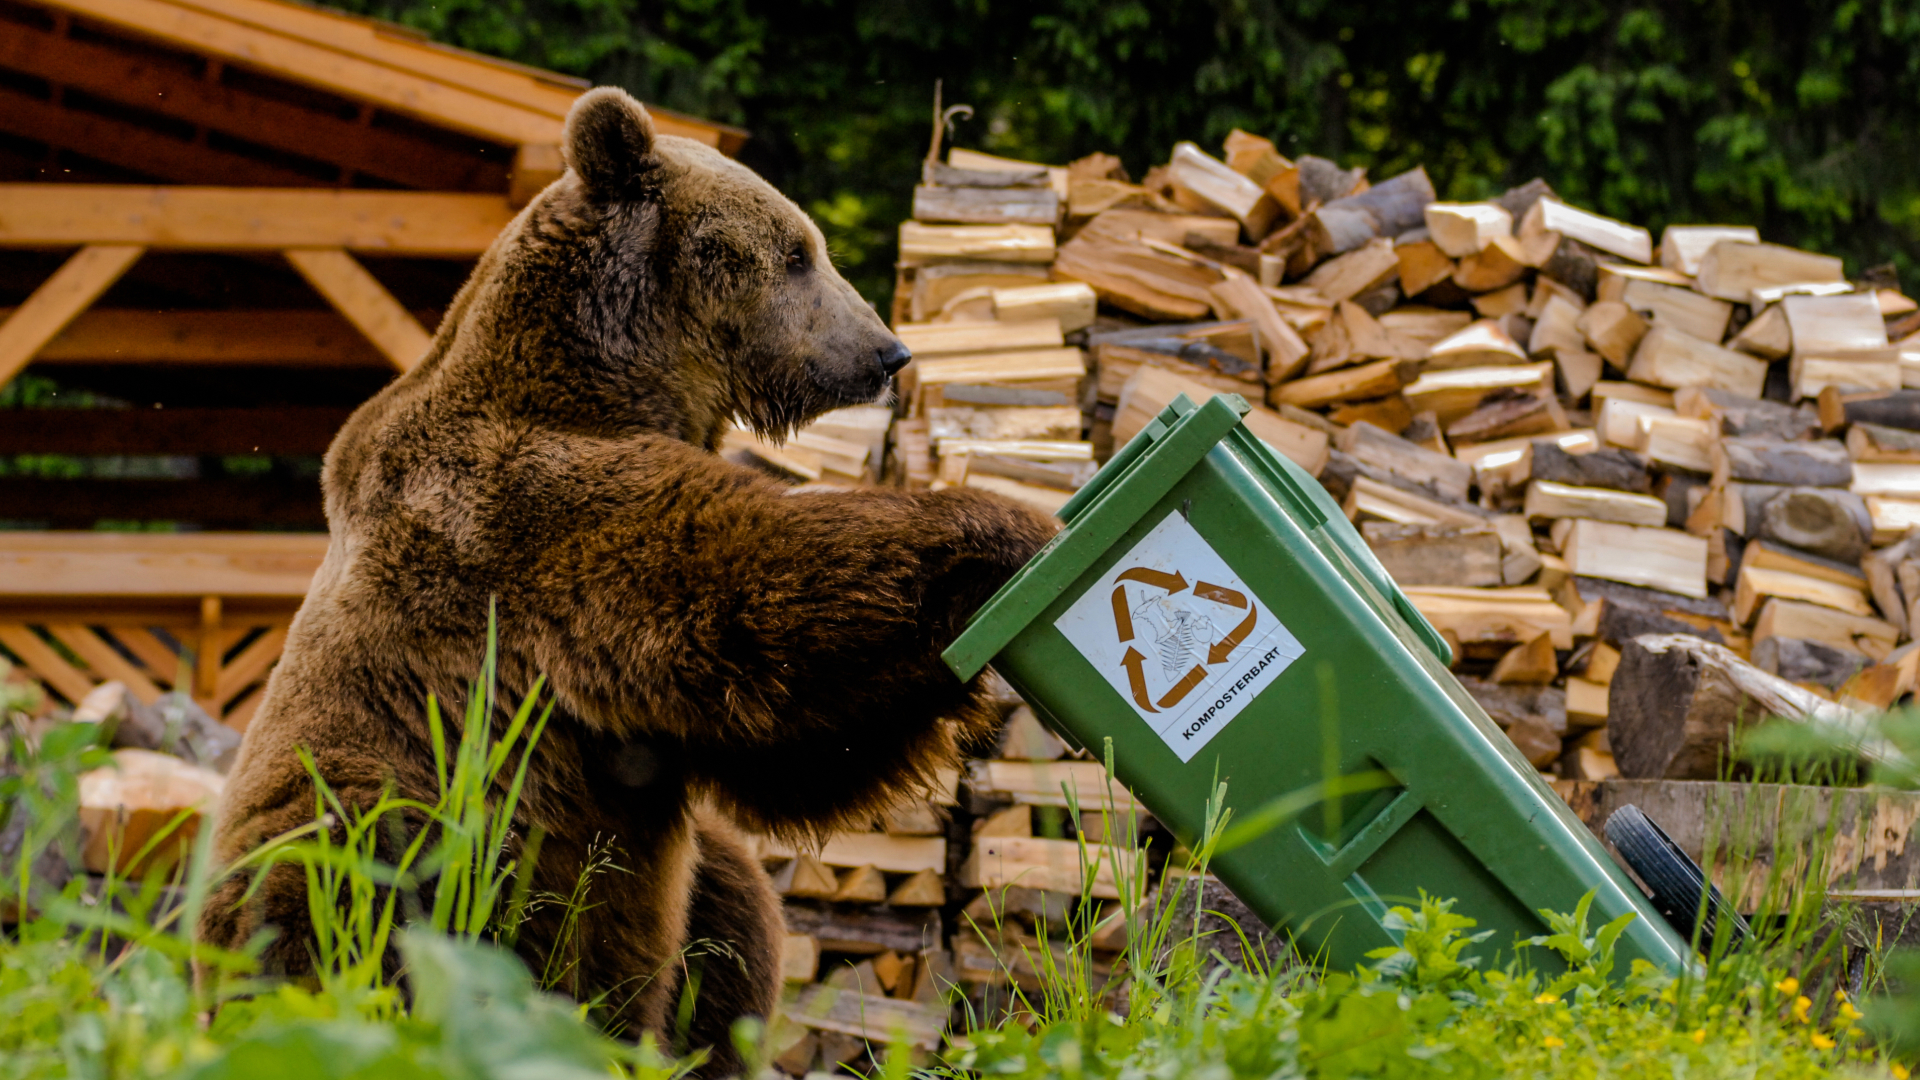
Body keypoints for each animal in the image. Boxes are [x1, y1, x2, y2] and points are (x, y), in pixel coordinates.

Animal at [198, 86, 1057, 1071]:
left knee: (731, 913)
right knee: (340, 899)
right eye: (797, 252)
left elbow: (795, 751)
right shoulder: (532, 521)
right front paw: (1008, 529)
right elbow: (753, 597)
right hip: (392, 826)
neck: (611, 376)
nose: (886, 354)